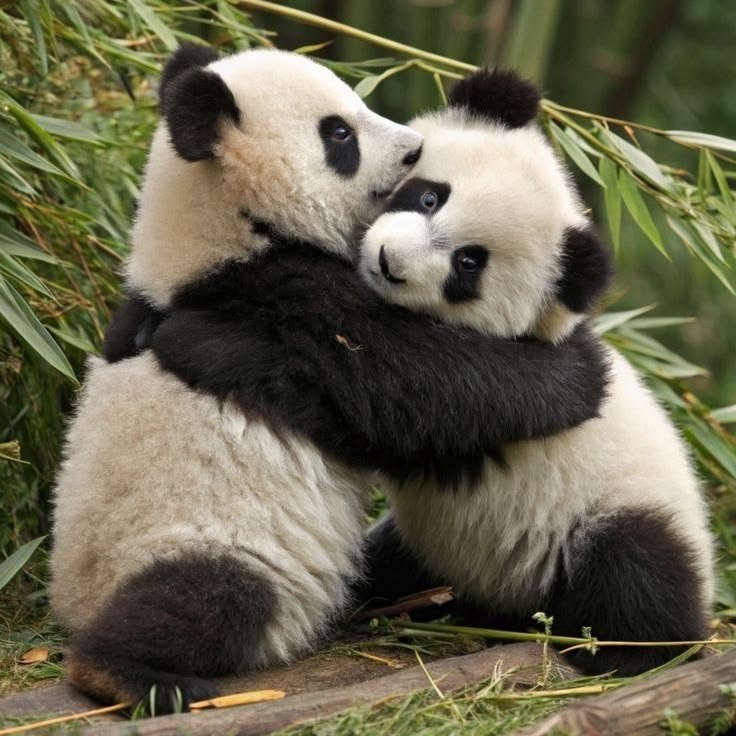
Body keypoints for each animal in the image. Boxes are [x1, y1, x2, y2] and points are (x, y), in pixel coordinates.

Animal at [50, 46, 610, 713]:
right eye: (339, 133)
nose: (415, 149)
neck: (217, 236)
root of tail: (75, 600)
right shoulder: (283, 291)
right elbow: (418, 387)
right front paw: (579, 373)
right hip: (198, 539)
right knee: (212, 594)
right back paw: (131, 674)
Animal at [354, 69, 715, 676]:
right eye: (430, 196)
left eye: (468, 265)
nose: (389, 263)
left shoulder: (487, 395)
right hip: (423, 547)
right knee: (388, 561)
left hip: (621, 516)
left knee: (635, 573)